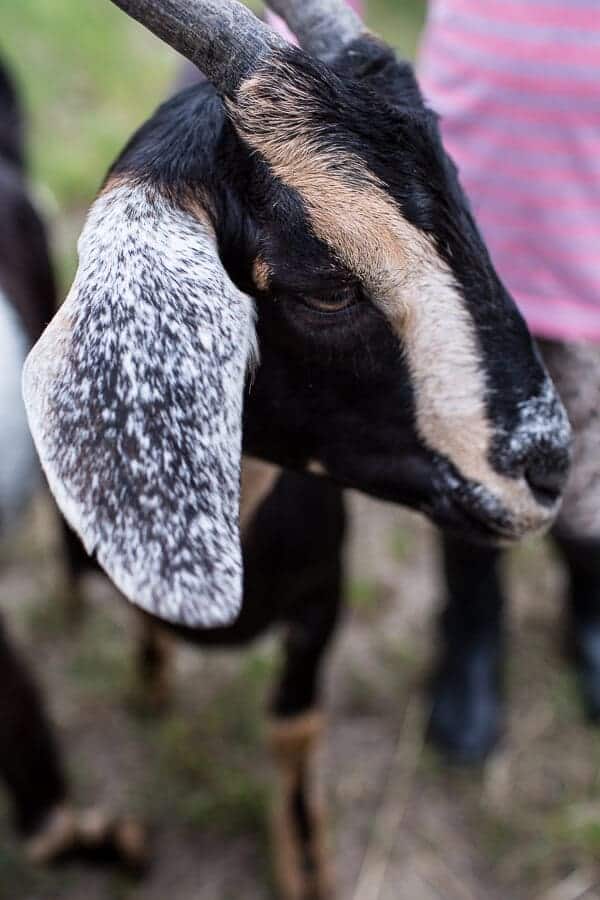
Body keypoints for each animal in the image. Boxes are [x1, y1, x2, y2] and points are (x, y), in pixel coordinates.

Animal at [22, 0, 573, 895]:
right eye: (327, 289)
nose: (549, 467)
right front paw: (150, 684)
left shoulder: (322, 603)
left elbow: (294, 726)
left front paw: (307, 865)